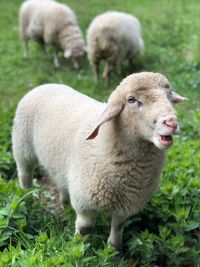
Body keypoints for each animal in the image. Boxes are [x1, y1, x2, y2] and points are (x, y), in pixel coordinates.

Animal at [11, 71, 187, 251]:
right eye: (131, 100)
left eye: (169, 96)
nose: (171, 123)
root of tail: (46, 85)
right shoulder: (84, 202)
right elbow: (85, 228)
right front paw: (77, 248)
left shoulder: (127, 203)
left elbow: (118, 226)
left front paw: (114, 249)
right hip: (22, 148)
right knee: (25, 176)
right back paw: (27, 200)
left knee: (60, 181)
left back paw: (64, 202)